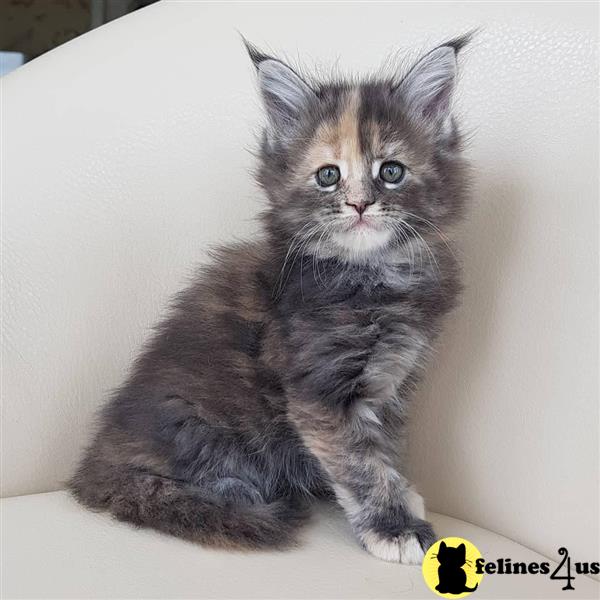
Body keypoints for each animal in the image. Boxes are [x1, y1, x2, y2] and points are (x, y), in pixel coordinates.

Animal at [70, 36, 472, 564]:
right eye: (328, 176)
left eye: (391, 171)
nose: (360, 205)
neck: (374, 273)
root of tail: (93, 466)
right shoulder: (320, 391)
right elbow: (361, 462)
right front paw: (394, 527)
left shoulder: (394, 382)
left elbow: (385, 447)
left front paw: (402, 495)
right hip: (206, 426)